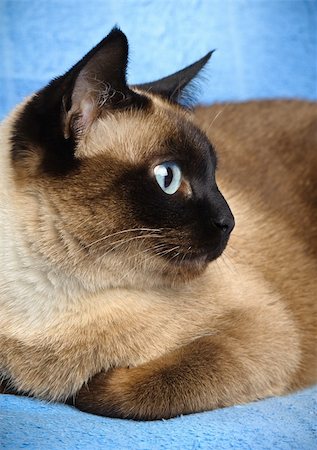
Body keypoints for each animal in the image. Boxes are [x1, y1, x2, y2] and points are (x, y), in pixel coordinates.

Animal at [0, 29, 314, 422]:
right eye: (169, 178)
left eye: (214, 175)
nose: (229, 222)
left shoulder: (262, 331)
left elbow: (125, 388)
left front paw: (84, 386)